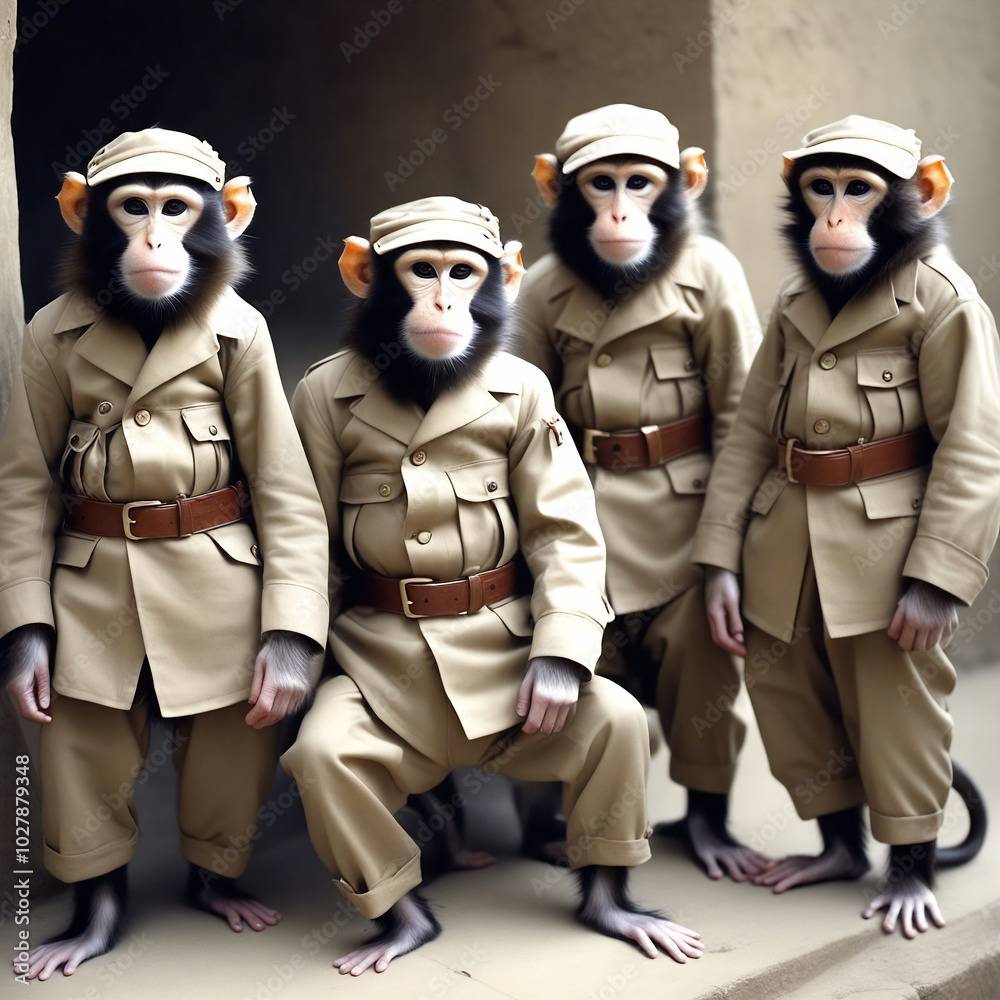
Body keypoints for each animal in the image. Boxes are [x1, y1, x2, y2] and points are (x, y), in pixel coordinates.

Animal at [0, 128, 329, 979]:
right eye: (133, 206)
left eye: (175, 207)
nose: (153, 238)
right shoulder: (40, 342)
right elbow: (23, 494)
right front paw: (25, 662)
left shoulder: (253, 343)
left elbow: (283, 489)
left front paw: (288, 667)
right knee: (83, 738)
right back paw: (93, 917)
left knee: (228, 738)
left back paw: (218, 886)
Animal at [282, 195, 704, 975]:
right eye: (422, 270)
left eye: (461, 270)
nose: (444, 299)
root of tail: (458, 750)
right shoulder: (310, 407)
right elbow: (306, 539)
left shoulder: (537, 398)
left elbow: (562, 532)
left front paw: (556, 679)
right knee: (330, 766)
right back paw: (406, 915)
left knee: (615, 730)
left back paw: (612, 905)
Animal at [515, 104, 767, 881]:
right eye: (600, 182)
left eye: (638, 180)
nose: (620, 209)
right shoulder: (531, 301)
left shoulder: (722, 283)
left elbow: (738, 403)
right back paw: (545, 830)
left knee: (695, 655)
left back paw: (710, 828)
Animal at [693, 115, 998, 937]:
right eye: (820, 186)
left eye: (859, 188)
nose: (832, 216)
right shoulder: (783, 312)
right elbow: (748, 437)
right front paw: (718, 591)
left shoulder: (961, 315)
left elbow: (969, 442)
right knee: (786, 685)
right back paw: (835, 850)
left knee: (900, 715)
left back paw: (908, 873)